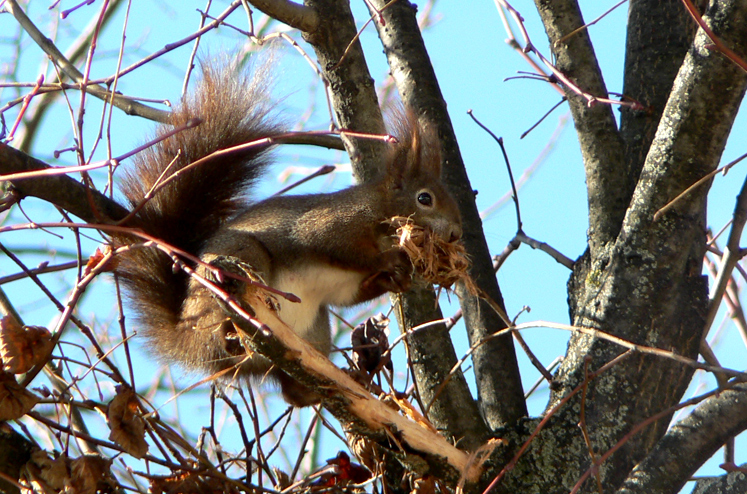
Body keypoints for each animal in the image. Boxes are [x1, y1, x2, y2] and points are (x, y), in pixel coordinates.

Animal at [114, 60, 462, 406]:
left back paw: (343, 383)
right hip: (240, 261)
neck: (380, 214)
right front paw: (391, 260)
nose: (457, 233)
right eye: (424, 199)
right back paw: (229, 334)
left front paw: (397, 279)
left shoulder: (345, 284)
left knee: (290, 390)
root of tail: (187, 339)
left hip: (314, 329)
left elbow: (350, 295)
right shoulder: (334, 225)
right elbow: (340, 247)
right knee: (223, 328)